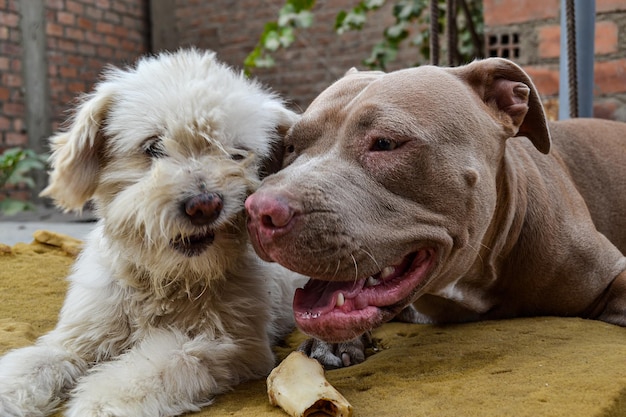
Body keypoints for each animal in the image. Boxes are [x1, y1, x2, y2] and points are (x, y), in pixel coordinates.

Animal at [0, 49, 302, 416]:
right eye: (153, 147)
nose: (204, 205)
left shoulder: (229, 345)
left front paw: (99, 403)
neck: (166, 280)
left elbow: (157, 366)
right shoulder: (78, 338)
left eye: (237, 155)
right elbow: (36, 362)